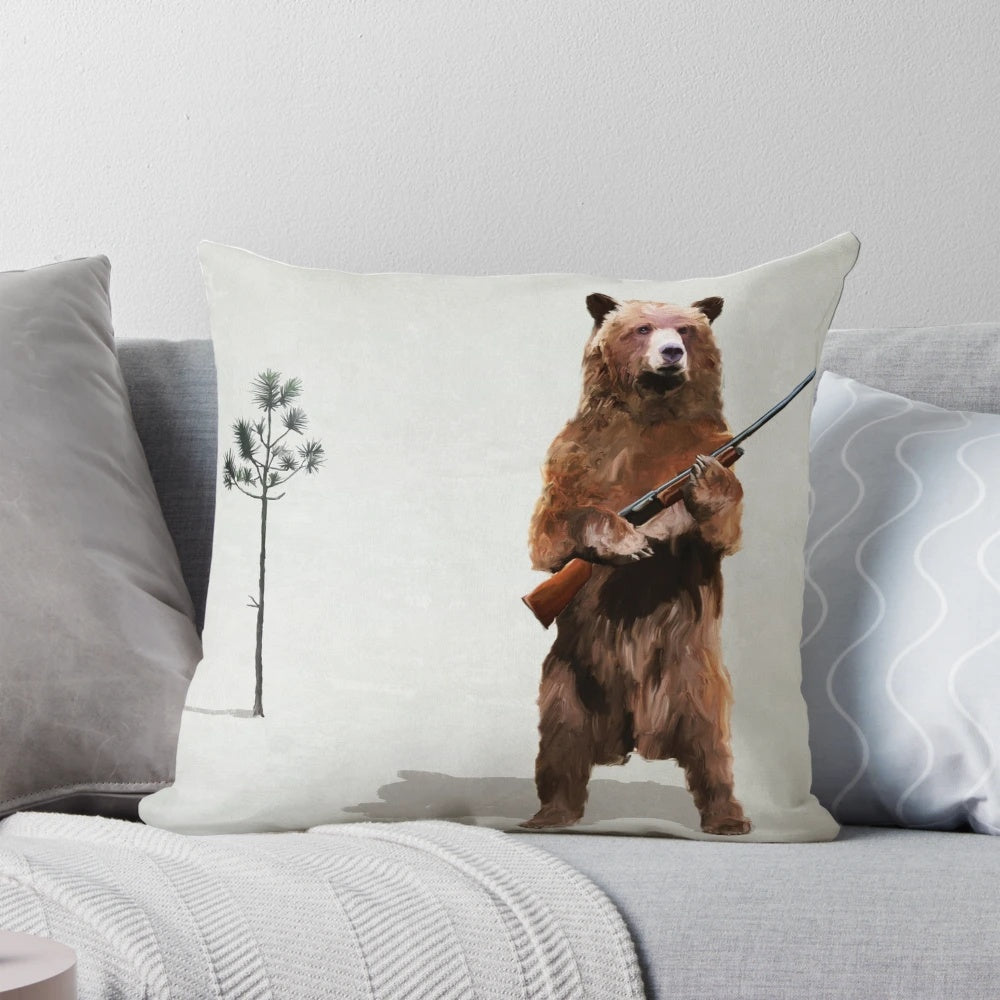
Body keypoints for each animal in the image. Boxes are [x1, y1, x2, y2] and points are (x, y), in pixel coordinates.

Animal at [522, 292, 751, 836]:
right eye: (643, 328)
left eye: (686, 329)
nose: (671, 352)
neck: (651, 414)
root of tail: (633, 737)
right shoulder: (574, 457)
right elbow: (551, 534)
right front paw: (624, 539)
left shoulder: (708, 439)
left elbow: (724, 525)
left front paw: (708, 482)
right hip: (569, 681)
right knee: (560, 744)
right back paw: (551, 813)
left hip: (695, 679)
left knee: (712, 749)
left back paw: (727, 816)